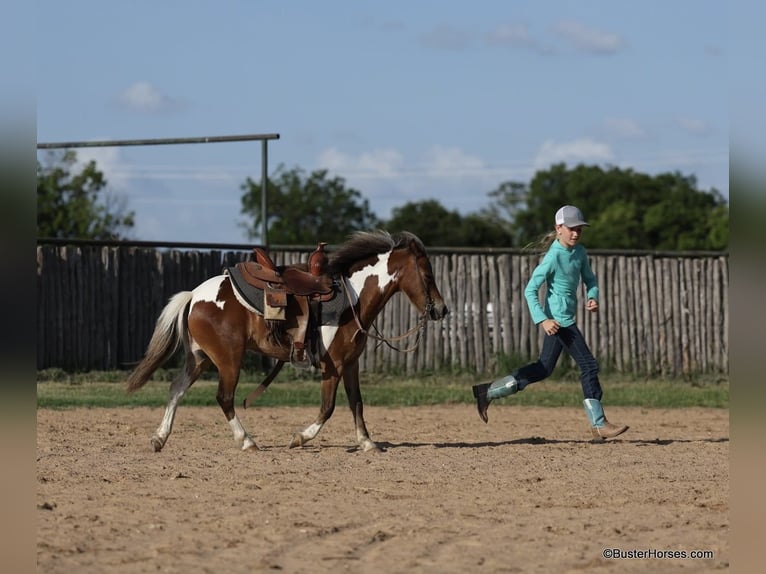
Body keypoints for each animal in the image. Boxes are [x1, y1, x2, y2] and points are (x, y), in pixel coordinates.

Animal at [126, 230, 449, 453]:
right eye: (427, 274)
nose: (442, 309)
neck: (353, 298)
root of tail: (194, 296)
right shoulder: (333, 366)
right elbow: (328, 407)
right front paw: (300, 438)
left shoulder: (351, 364)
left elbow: (357, 403)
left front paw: (368, 443)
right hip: (228, 360)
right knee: (224, 397)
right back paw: (247, 441)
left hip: (199, 358)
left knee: (176, 390)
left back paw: (159, 438)